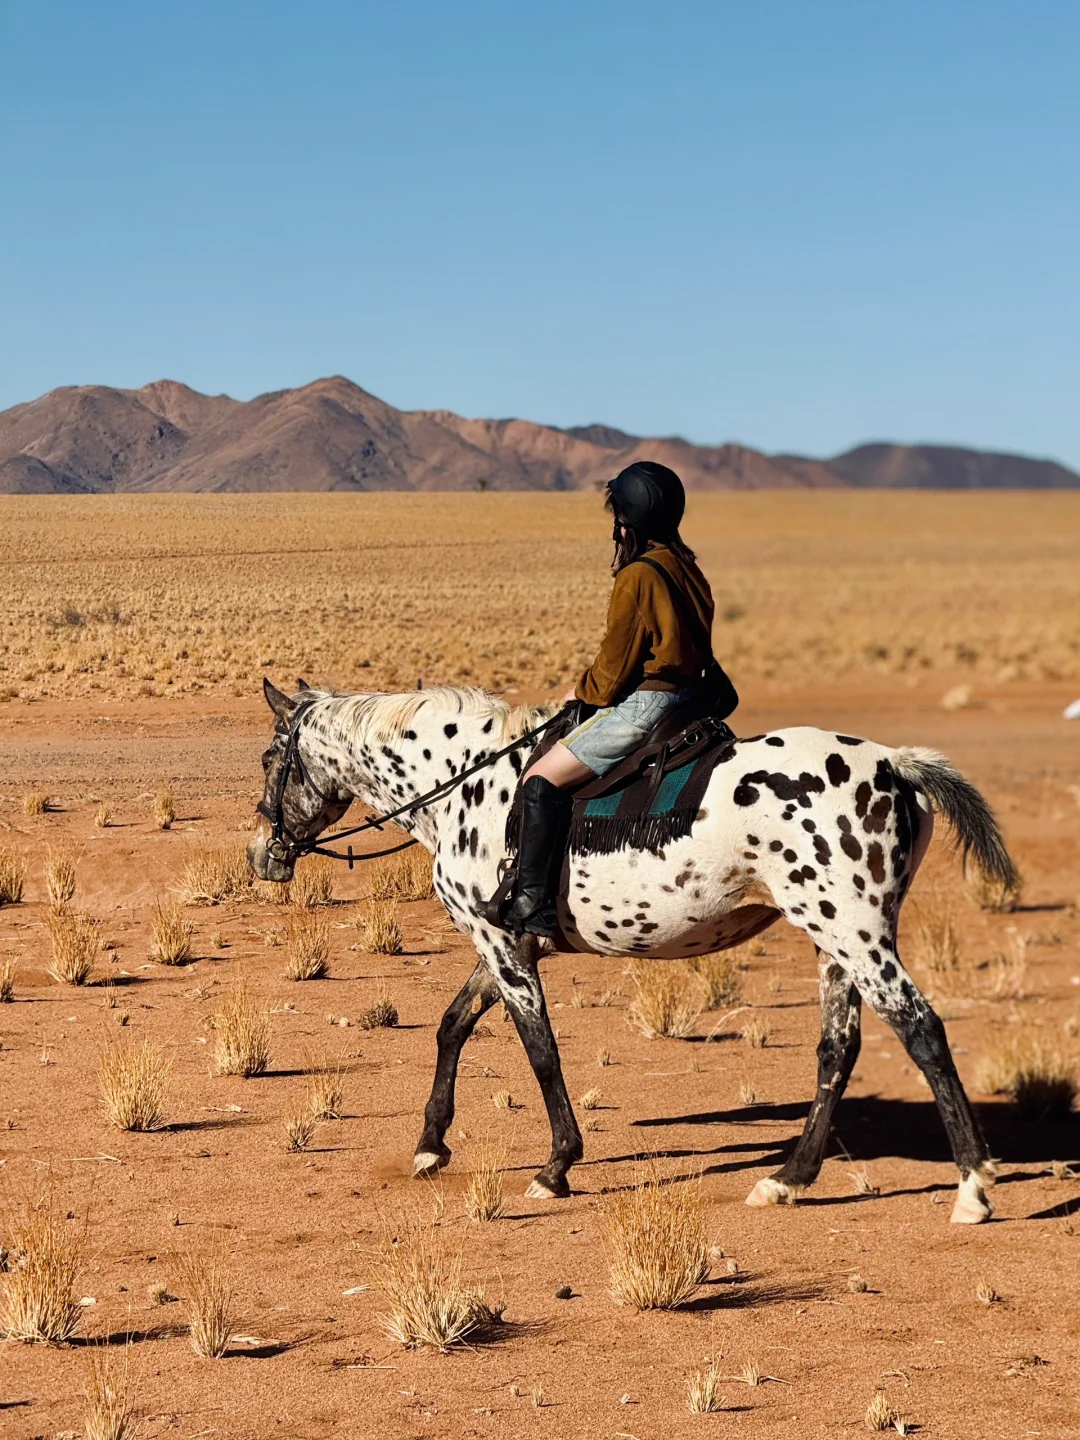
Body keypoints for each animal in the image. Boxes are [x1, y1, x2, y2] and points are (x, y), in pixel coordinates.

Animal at [249, 679, 1019, 1221]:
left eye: (268, 759)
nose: (262, 854)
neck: (465, 782)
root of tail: (893, 765)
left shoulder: (502, 943)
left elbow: (539, 1050)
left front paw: (556, 1167)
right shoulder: (504, 941)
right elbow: (452, 1026)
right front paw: (430, 1145)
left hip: (854, 931)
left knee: (921, 1029)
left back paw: (973, 1189)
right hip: (834, 939)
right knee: (839, 1048)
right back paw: (787, 1181)